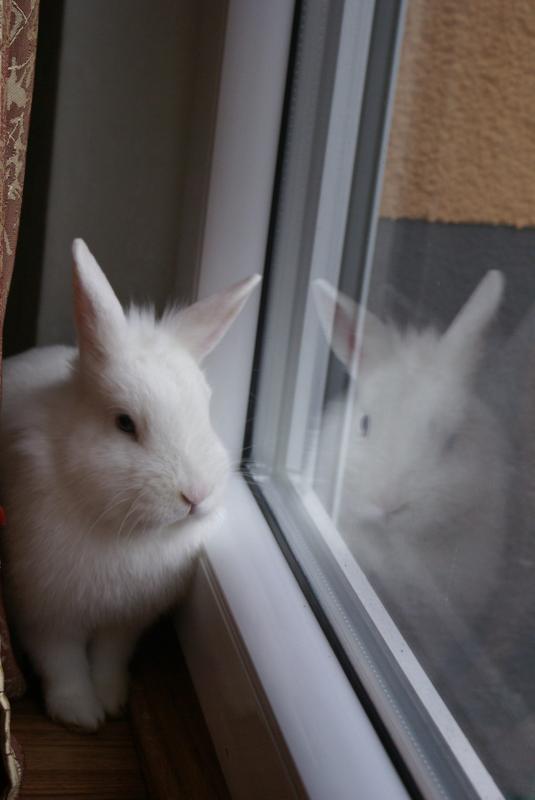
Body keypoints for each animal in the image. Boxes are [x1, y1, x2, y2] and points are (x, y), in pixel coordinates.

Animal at [0, 238, 260, 731]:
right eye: (124, 424)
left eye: (205, 409)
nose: (195, 496)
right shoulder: (44, 613)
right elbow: (61, 662)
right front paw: (80, 715)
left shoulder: (124, 621)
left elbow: (109, 657)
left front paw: (112, 699)